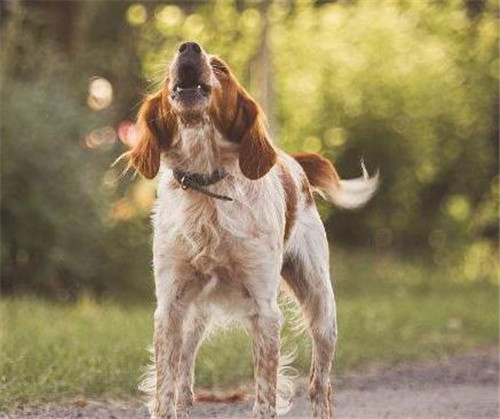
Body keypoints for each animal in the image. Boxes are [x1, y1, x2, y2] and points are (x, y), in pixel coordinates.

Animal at [124, 41, 376, 419]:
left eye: (221, 68)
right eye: (169, 68)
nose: (189, 47)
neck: (207, 186)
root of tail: (295, 164)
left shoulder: (264, 309)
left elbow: (265, 392)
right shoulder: (170, 305)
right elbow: (165, 388)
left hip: (321, 304)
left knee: (320, 385)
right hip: (194, 316)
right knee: (184, 378)